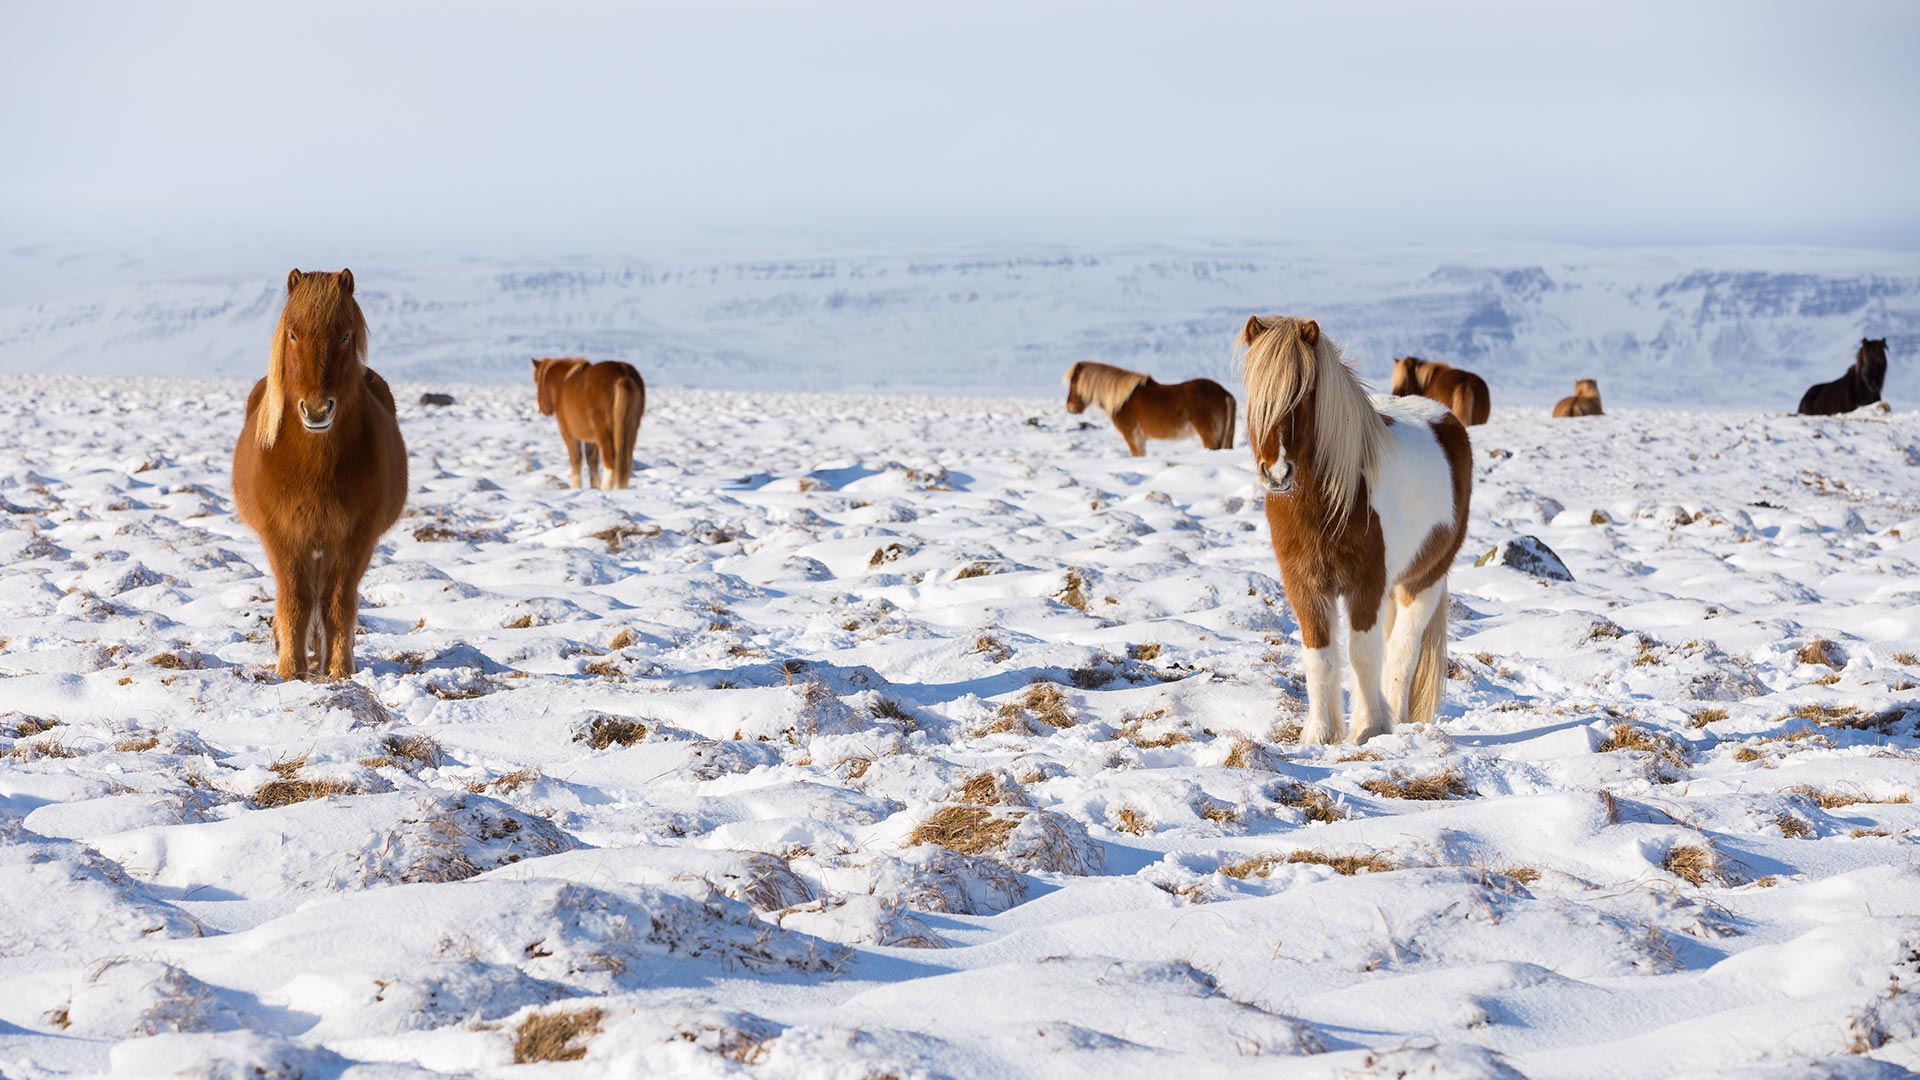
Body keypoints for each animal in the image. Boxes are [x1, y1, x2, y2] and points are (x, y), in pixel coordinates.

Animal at [234, 267, 410, 672]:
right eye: (294, 334)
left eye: (345, 335)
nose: (316, 411)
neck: (313, 464)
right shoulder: (282, 535)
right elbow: (295, 600)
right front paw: (290, 668)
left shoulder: (355, 537)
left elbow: (338, 601)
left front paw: (340, 669)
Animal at [529, 357, 648, 488]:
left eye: (536, 381)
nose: (541, 408)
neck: (562, 385)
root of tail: (623, 374)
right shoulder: (591, 440)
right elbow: (592, 461)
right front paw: (594, 487)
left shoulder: (569, 434)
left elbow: (576, 459)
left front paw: (576, 487)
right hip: (630, 430)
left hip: (604, 433)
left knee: (610, 462)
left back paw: (606, 488)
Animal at [1059, 361, 1236, 453]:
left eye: (1074, 382)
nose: (1070, 408)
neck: (1123, 400)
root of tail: (1224, 393)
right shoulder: (1141, 439)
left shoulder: (1133, 437)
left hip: (1209, 436)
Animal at [1236, 315, 1474, 745]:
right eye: (1254, 390)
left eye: (1307, 391)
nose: (1277, 473)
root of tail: (1445, 417)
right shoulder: (1305, 585)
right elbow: (1319, 657)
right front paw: (1320, 734)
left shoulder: (1367, 583)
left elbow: (1363, 655)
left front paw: (1368, 729)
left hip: (1423, 580)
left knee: (1402, 651)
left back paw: (1396, 716)